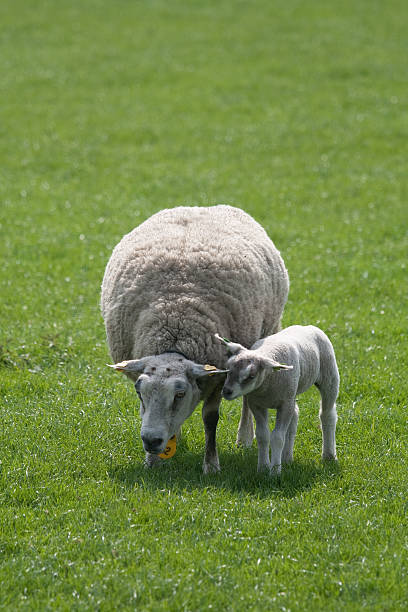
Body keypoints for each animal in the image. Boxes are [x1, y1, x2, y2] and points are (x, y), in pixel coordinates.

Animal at [100, 206, 288, 474]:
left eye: (179, 394)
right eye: (139, 392)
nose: (151, 441)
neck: (174, 331)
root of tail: (203, 207)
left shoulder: (218, 380)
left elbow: (210, 419)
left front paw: (211, 465)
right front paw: (153, 461)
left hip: (263, 335)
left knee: (248, 396)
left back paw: (244, 437)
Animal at [215, 322, 340, 476]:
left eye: (251, 376)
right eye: (227, 369)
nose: (226, 391)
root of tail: (307, 326)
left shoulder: (284, 404)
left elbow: (277, 437)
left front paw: (275, 471)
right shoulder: (257, 404)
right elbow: (263, 435)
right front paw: (263, 468)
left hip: (329, 375)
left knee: (327, 414)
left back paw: (329, 456)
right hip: (292, 392)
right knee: (295, 415)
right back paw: (287, 458)